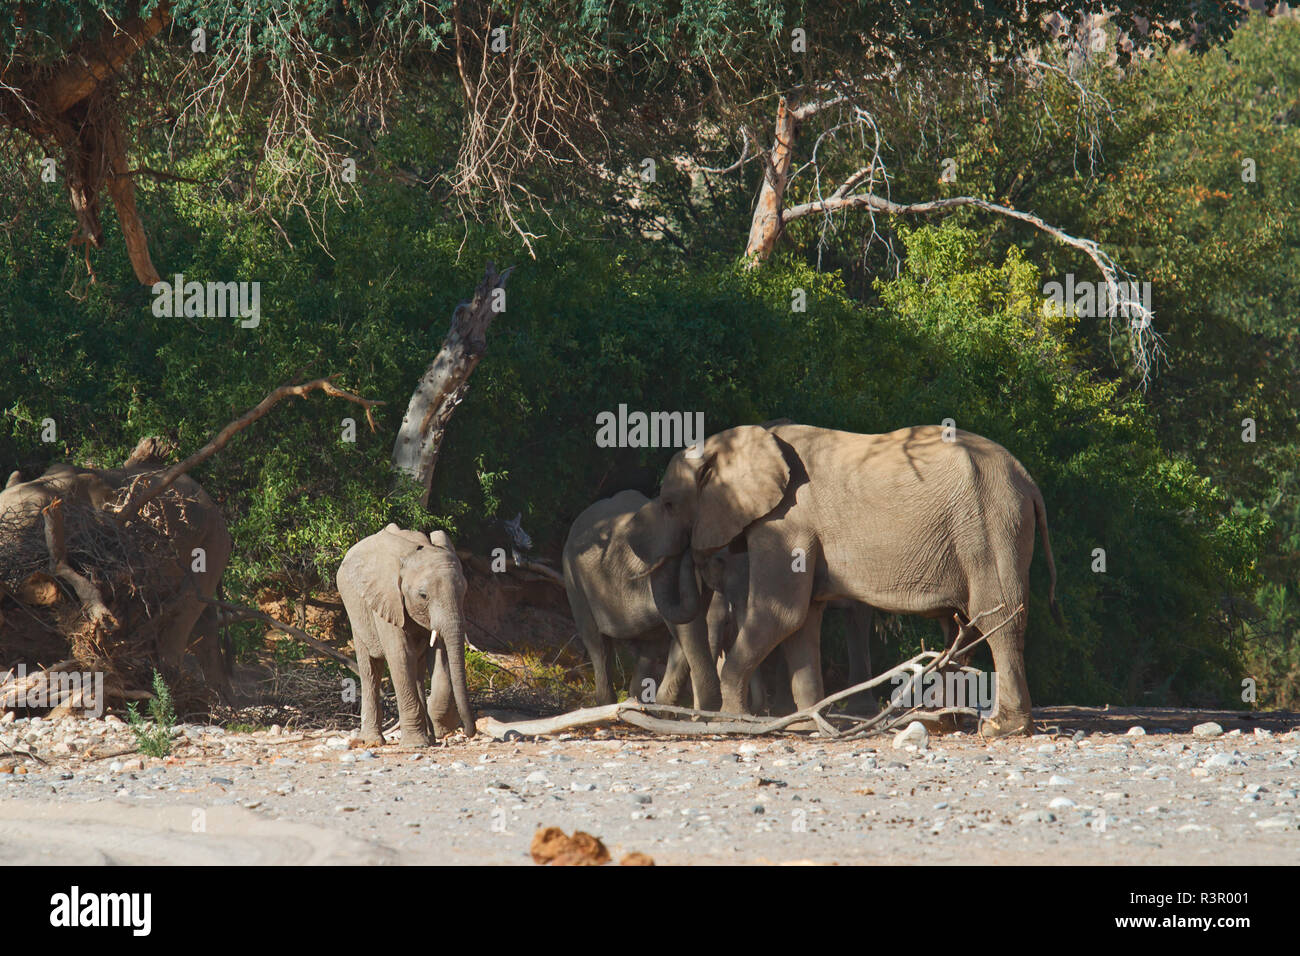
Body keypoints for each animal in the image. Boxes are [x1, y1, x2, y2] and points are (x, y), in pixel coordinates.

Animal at [335, 522, 478, 749]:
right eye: (423, 595)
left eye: (464, 591)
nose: (468, 731)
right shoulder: (386, 598)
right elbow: (400, 656)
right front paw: (416, 744)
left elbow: (440, 654)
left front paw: (442, 727)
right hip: (354, 607)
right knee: (371, 669)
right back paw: (374, 741)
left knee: (417, 670)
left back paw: (428, 736)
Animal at [624, 424, 1060, 738]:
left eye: (669, 503)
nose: (694, 558)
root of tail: (1027, 480)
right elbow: (802, 622)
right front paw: (804, 724)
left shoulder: (786, 522)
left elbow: (782, 613)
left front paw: (729, 722)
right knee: (960, 626)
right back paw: (938, 723)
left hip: (990, 523)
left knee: (998, 616)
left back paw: (1002, 728)